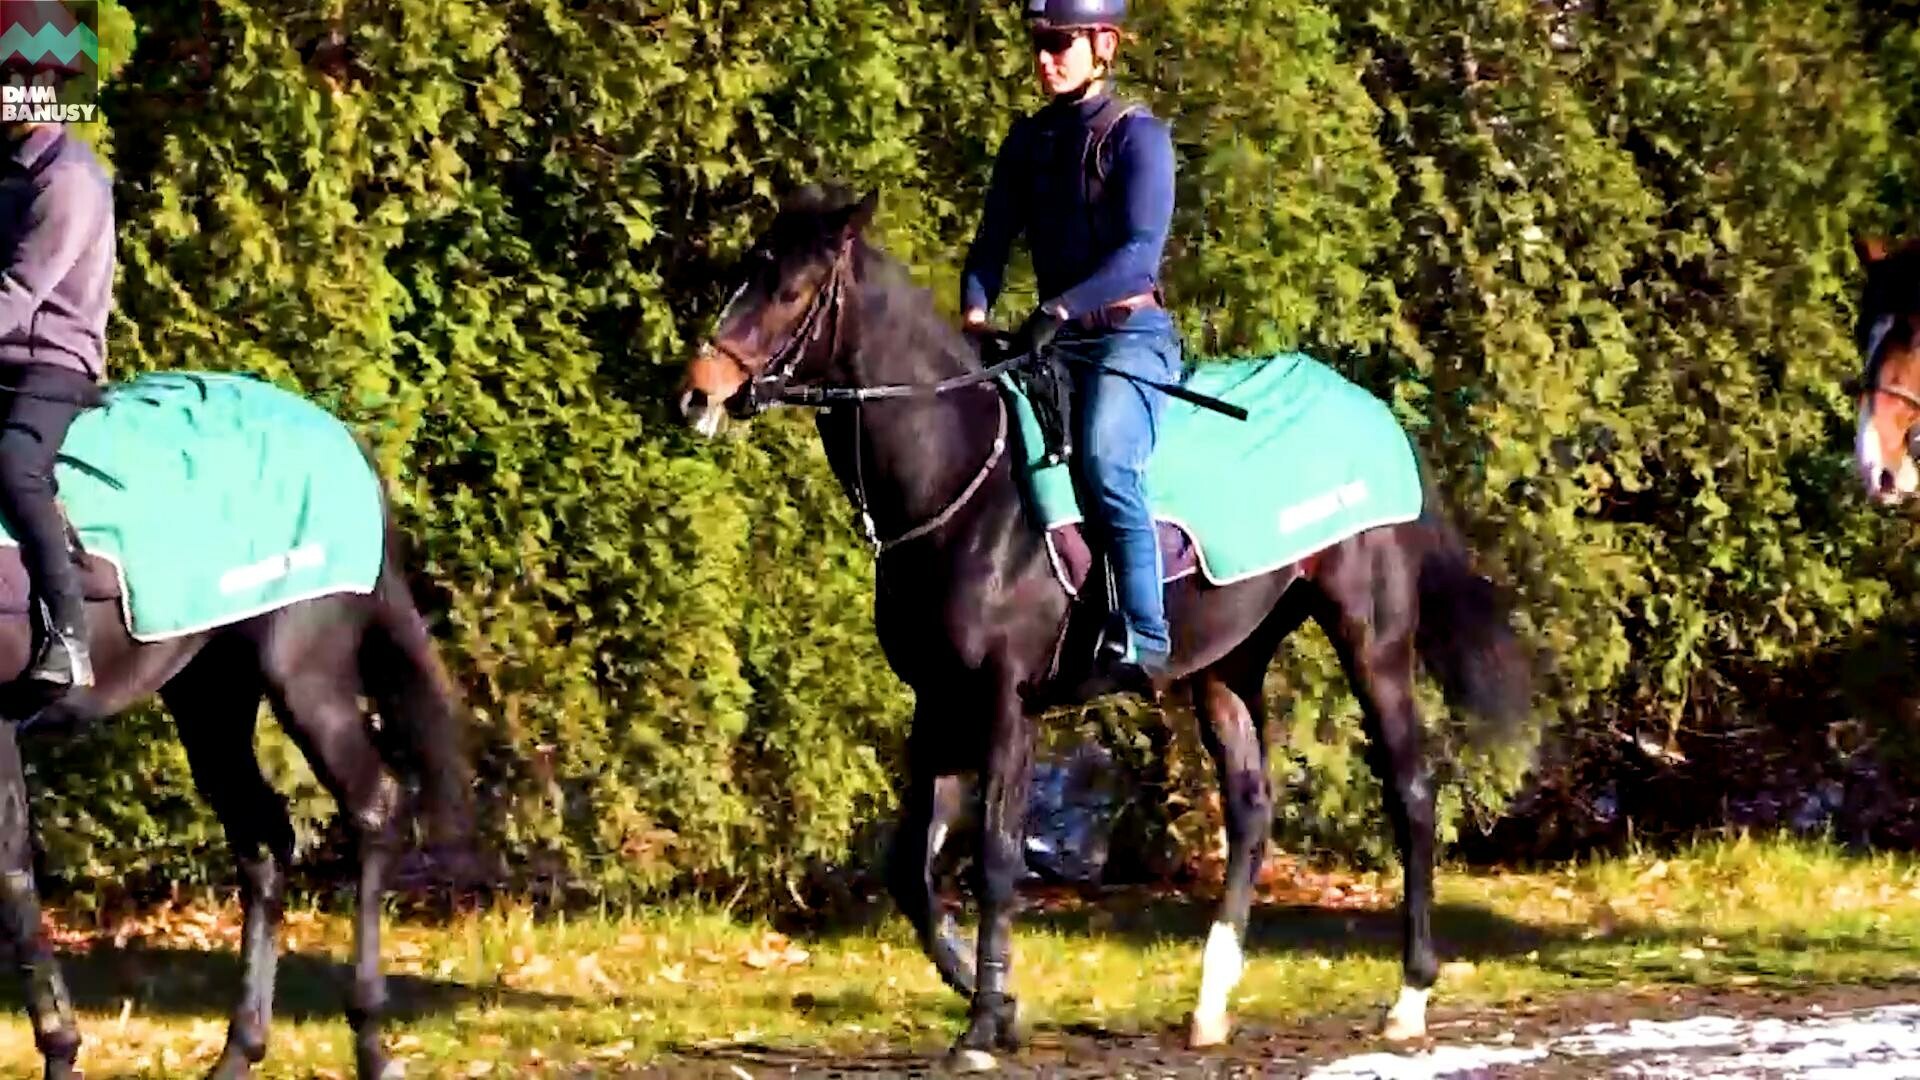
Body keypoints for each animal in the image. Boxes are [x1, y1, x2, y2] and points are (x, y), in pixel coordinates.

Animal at [0, 430, 468, 1076]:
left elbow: (15, 886)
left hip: (305, 681)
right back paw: (239, 1054)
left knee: (375, 809)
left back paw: (371, 1043)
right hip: (209, 698)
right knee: (264, 840)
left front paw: (62, 1053)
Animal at [675, 187, 1528, 1068]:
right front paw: (1003, 1005)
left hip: (1371, 639)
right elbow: (911, 868)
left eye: (790, 290)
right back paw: (1209, 1007)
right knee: (1251, 808)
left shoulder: (1004, 702)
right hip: (1227, 662)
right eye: (746, 269)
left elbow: (996, 858)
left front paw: (984, 1023)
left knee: (1411, 794)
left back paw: (1408, 998)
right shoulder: (938, 702)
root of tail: (1377, 413)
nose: (697, 393)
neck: (963, 481)